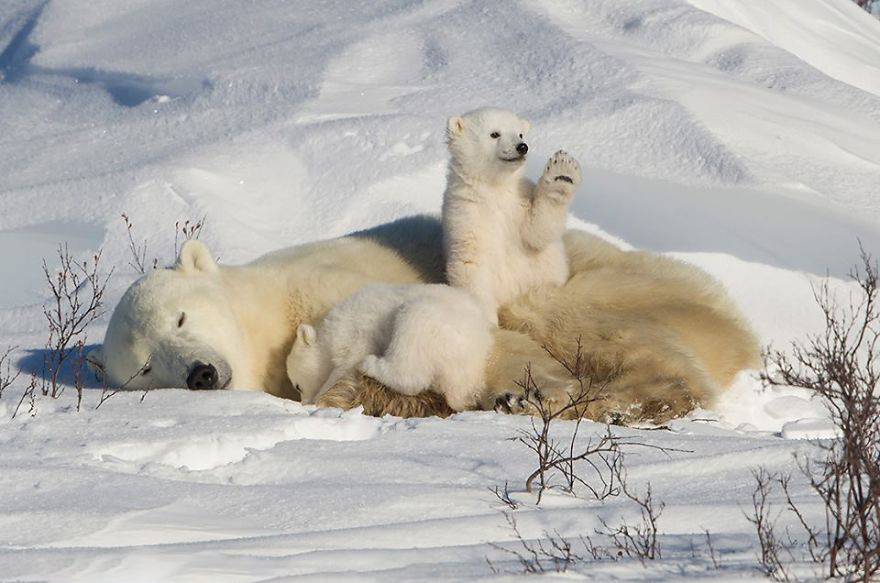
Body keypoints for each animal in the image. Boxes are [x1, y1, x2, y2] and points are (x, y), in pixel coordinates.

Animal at [91, 217, 764, 426]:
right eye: (146, 366)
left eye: (182, 316)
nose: (201, 373)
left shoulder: (332, 283)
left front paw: (525, 391)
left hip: (628, 284)